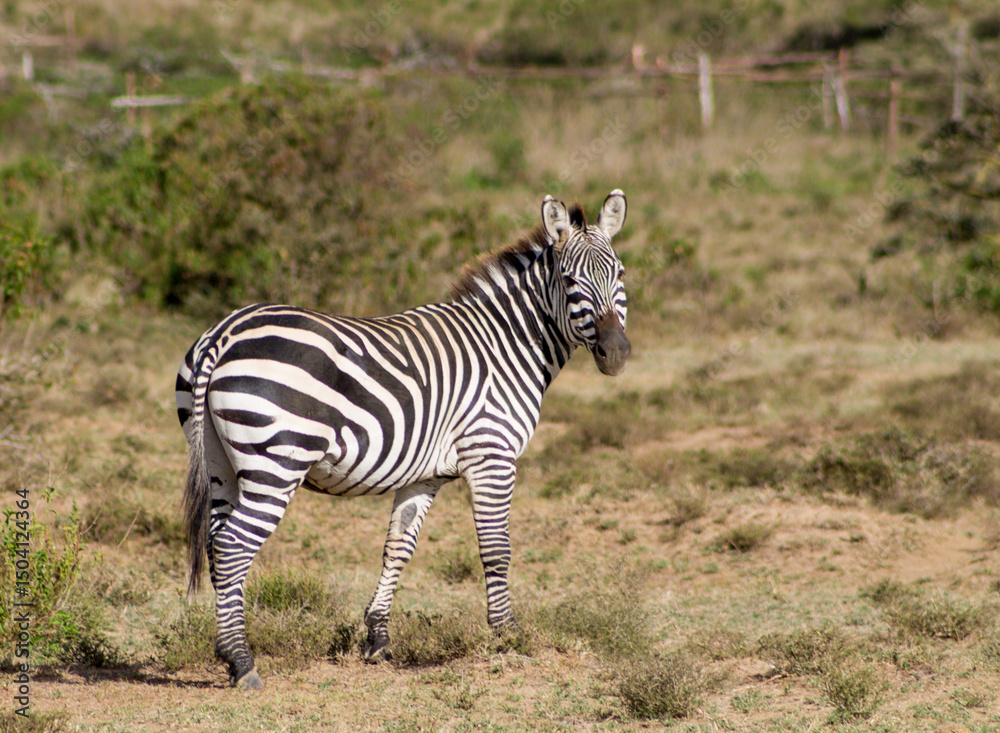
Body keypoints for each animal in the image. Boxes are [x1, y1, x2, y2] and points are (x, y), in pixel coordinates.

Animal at [175, 190, 631, 689]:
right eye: (569, 281)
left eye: (621, 275)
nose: (616, 353)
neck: (507, 345)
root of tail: (225, 332)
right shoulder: (491, 454)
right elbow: (496, 548)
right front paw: (507, 633)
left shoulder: (424, 475)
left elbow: (398, 548)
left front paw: (377, 638)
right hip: (275, 463)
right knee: (233, 547)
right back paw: (242, 661)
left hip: (220, 464)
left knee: (216, 546)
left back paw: (228, 653)